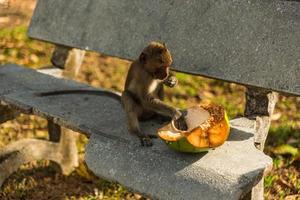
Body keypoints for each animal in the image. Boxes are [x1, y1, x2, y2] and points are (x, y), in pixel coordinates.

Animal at [35, 41, 180, 147]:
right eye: (161, 66)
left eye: (168, 66)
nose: (166, 74)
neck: (147, 70)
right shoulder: (144, 76)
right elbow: (146, 99)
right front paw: (175, 112)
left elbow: (160, 86)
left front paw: (171, 80)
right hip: (140, 111)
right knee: (127, 96)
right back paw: (138, 132)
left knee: (158, 89)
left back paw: (157, 116)